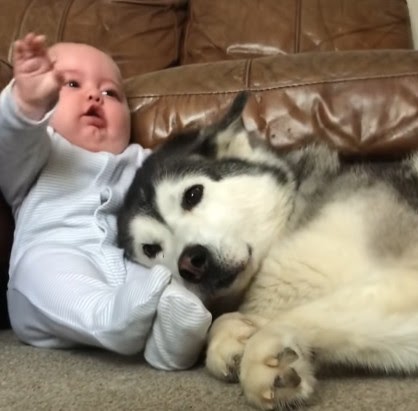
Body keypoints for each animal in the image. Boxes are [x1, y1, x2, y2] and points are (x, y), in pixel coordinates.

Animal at [116, 94, 418, 411]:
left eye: (193, 194)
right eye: (151, 249)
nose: (191, 262)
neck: (290, 220)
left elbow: (299, 314)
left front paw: (264, 344)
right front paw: (233, 334)